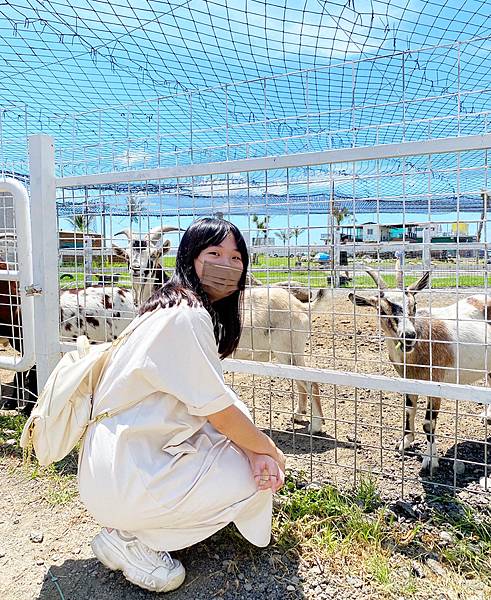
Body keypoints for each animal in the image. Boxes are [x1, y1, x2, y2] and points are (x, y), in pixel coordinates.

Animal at [350, 266, 491, 468]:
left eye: (414, 306)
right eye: (382, 311)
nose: (409, 335)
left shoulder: (436, 382)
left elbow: (428, 423)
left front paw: (430, 459)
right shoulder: (409, 381)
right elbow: (409, 411)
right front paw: (405, 442)